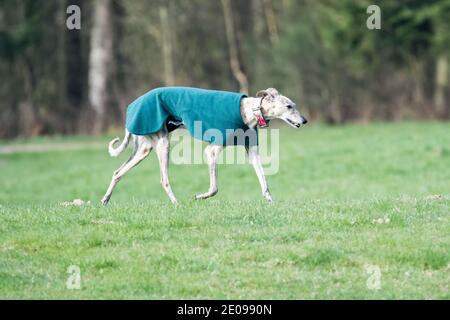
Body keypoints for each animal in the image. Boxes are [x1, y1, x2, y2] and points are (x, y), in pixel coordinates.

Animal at [100, 87, 308, 205]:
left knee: (117, 172)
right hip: (163, 144)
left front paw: (271, 201)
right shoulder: (212, 151)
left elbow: (264, 180)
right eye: (289, 106)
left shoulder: (253, 151)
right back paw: (176, 203)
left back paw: (105, 200)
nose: (305, 121)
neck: (250, 110)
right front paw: (199, 197)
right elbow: (214, 187)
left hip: (143, 149)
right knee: (163, 179)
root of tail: (132, 107)